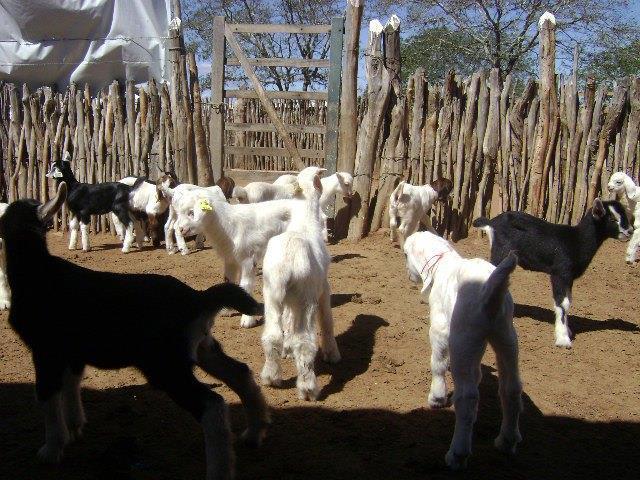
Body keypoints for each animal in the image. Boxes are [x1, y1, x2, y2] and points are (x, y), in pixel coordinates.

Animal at [0, 182, 268, 478]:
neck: (37, 272)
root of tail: (198, 299)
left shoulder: (45, 350)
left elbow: (46, 394)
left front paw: (50, 450)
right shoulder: (73, 352)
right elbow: (71, 385)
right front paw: (74, 427)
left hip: (165, 364)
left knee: (212, 405)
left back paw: (220, 469)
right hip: (202, 346)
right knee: (240, 373)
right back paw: (254, 433)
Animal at [258, 169, 342, 402]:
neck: (305, 219)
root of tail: (288, 258)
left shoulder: (288, 299)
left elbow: (287, 322)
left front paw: (287, 350)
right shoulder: (323, 287)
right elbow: (327, 319)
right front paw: (332, 354)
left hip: (271, 292)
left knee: (272, 335)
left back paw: (271, 377)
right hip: (306, 296)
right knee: (304, 342)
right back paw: (308, 389)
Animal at [408, 232, 524, 468]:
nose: (409, 276)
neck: (444, 263)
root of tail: (491, 291)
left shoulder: (441, 328)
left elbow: (438, 363)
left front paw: (437, 398)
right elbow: (477, 374)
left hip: (463, 337)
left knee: (467, 397)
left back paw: (457, 455)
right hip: (505, 336)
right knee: (511, 388)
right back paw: (506, 441)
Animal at [472, 199, 632, 348]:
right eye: (612, 219)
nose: (630, 231)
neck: (576, 240)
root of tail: (492, 222)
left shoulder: (569, 278)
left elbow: (569, 301)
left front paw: (567, 331)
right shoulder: (559, 273)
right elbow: (562, 303)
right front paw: (563, 339)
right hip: (501, 253)